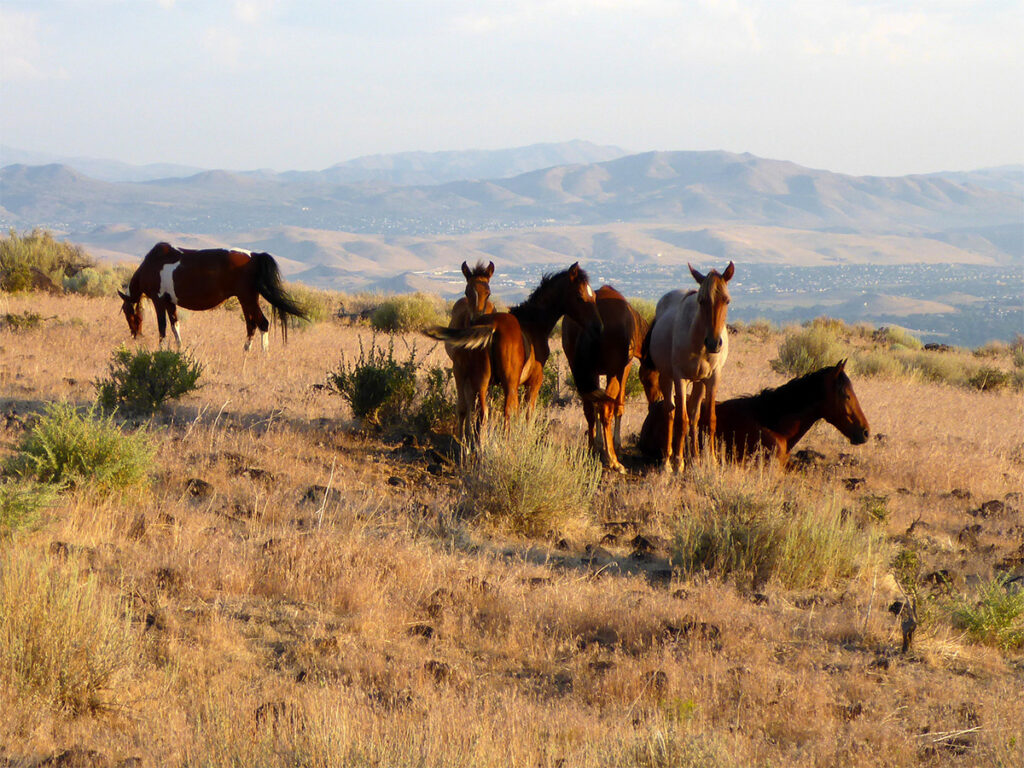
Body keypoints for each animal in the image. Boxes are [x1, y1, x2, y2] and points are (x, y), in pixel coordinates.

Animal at [117, 241, 305, 354]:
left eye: (127, 313)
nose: (135, 335)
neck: (152, 264)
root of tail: (255, 256)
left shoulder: (159, 301)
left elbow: (162, 327)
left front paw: (161, 349)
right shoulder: (170, 303)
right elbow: (175, 325)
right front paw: (179, 348)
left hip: (248, 299)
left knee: (262, 323)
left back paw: (264, 354)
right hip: (246, 300)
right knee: (251, 325)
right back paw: (245, 351)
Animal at [446, 264, 497, 448]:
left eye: (488, 292)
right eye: (467, 291)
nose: (477, 321)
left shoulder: (484, 373)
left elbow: (483, 409)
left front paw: (478, 440)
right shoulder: (459, 369)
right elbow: (463, 406)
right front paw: (462, 440)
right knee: (468, 401)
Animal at [561, 286, 655, 473]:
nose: (657, 400)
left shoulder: (595, 373)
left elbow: (596, 406)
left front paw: (599, 444)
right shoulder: (623, 370)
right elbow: (618, 406)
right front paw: (616, 445)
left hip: (581, 371)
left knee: (589, 409)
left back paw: (591, 451)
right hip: (612, 372)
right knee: (605, 409)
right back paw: (614, 460)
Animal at [638, 262, 737, 473]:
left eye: (726, 300)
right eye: (701, 300)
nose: (714, 343)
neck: (697, 340)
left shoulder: (713, 378)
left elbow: (708, 419)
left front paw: (711, 461)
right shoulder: (680, 378)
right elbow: (680, 420)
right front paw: (678, 462)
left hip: (699, 382)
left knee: (693, 416)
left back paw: (696, 459)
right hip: (667, 378)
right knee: (670, 412)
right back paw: (668, 461)